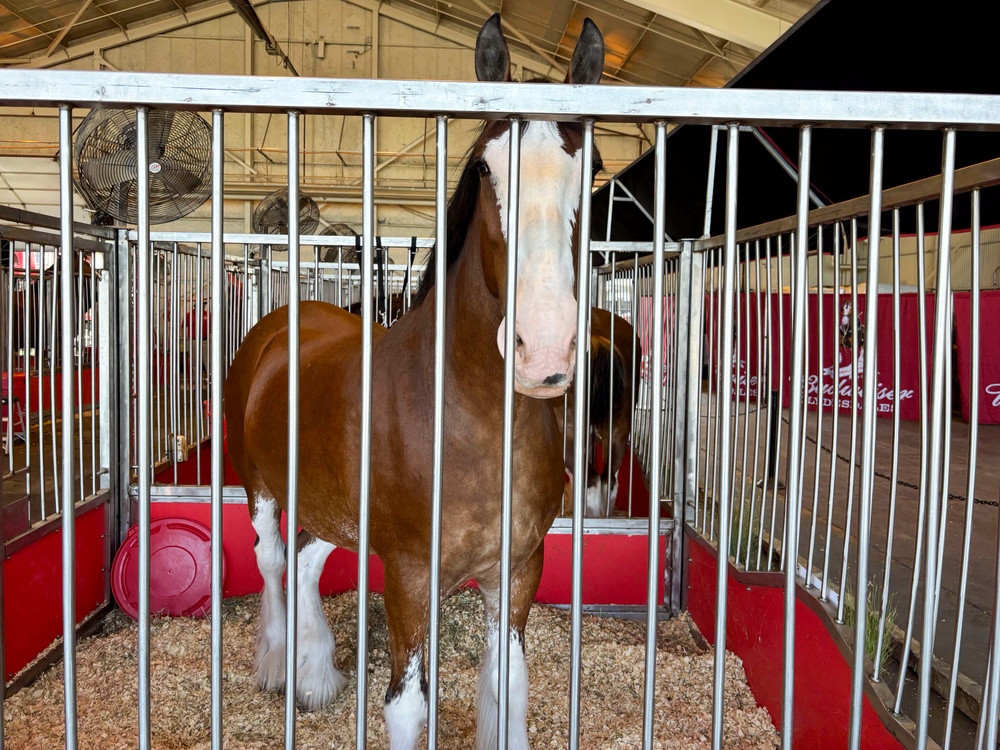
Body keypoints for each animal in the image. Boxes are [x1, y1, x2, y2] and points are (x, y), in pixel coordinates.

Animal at [224, 13, 604, 750]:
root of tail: (281, 325)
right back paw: (279, 666)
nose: (545, 347)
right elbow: (406, 706)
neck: (470, 423)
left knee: (307, 556)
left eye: (594, 168)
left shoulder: (518, 570)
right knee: (275, 562)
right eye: (484, 165)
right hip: (258, 486)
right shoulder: (406, 575)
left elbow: (510, 689)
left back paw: (315, 675)